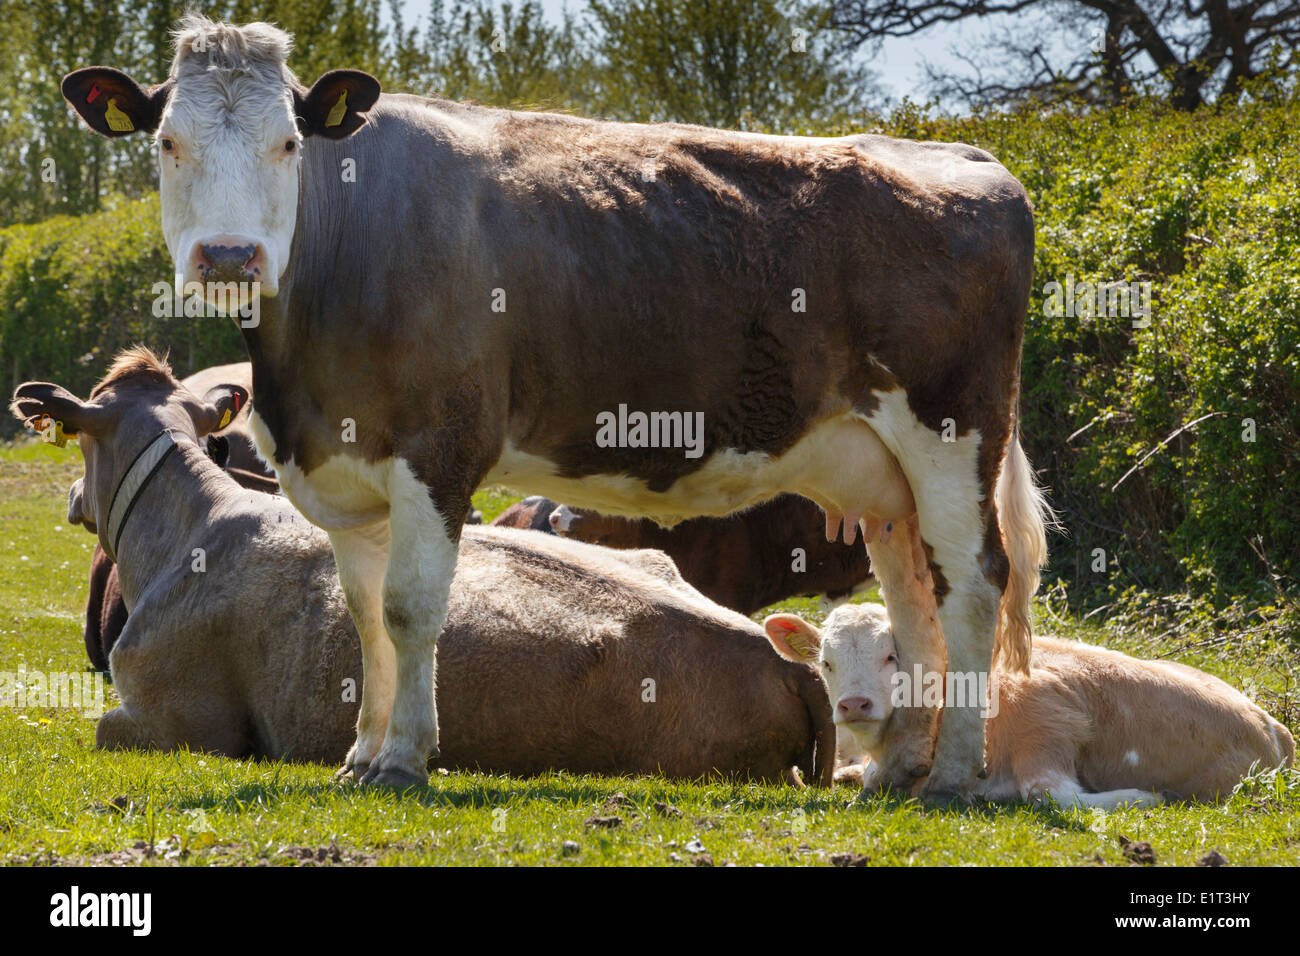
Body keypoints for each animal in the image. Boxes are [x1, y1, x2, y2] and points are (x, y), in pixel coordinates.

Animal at [12, 349, 834, 783]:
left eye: (80, 440)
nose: (73, 497)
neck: (186, 529)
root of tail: (779, 652)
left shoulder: (177, 717)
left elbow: (101, 727)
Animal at [764, 603, 1295, 806]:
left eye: (891, 654)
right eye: (826, 662)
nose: (854, 704)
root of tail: (1271, 725)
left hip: (1041, 707)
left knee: (1052, 792)